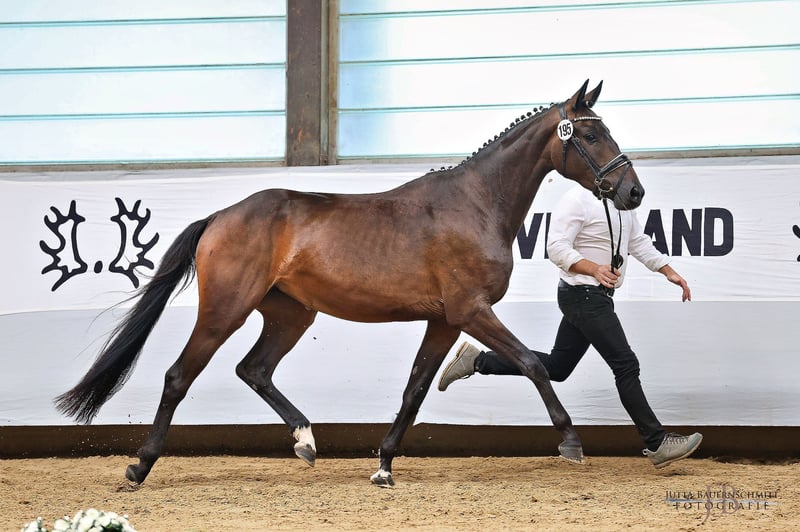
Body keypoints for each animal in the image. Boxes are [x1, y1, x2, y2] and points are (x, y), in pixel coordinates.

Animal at [55, 80, 644, 487]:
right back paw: (139, 468)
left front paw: (383, 466)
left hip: (291, 314)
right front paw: (571, 442)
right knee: (180, 376)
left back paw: (306, 442)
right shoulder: (470, 310)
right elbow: (529, 362)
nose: (632, 192)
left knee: (254, 369)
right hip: (226, 310)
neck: (476, 205)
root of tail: (221, 216)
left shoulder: (443, 320)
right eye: (591, 133)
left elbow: (415, 389)